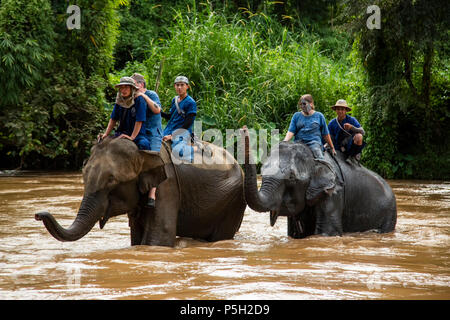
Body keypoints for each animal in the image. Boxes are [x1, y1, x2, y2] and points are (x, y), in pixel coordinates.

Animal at [35, 136, 246, 246]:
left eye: (111, 181)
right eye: (83, 173)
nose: (38, 214)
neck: (143, 152)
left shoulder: (167, 185)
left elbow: (159, 238)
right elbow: (136, 238)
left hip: (233, 201)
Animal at [241, 127, 396, 238]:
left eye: (291, 178)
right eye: (263, 171)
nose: (244, 129)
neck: (313, 157)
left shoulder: (333, 193)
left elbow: (327, 232)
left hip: (389, 214)